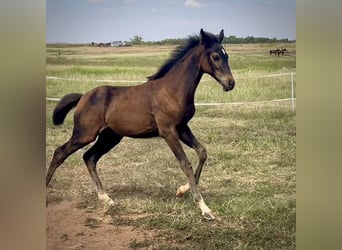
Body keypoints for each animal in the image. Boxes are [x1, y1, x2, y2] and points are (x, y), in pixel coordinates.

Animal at [46, 28, 235, 221]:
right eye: (215, 56)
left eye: (226, 55)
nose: (230, 83)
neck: (172, 90)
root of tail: (83, 96)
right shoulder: (168, 131)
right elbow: (185, 163)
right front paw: (204, 208)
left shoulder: (182, 128)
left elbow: (202, 152)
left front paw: (182, 190)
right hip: (85, 134)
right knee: (60, 152)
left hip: (110, 137)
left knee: (89, 157)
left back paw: (106, 198)